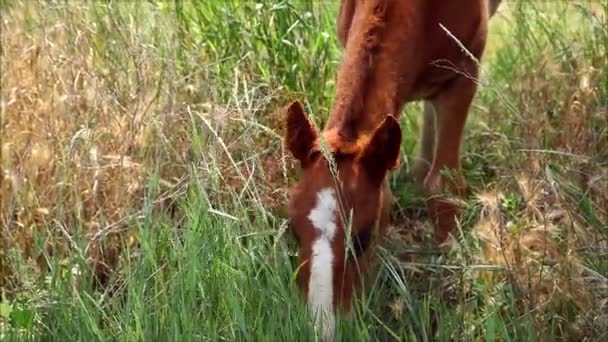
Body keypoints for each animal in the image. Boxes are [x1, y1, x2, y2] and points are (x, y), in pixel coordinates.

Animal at [282, 0, 502, 340]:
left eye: (364, 236)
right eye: (293, 229)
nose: (324, 329)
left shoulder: (465, 73)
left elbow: (444, 188)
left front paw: (453, 291)